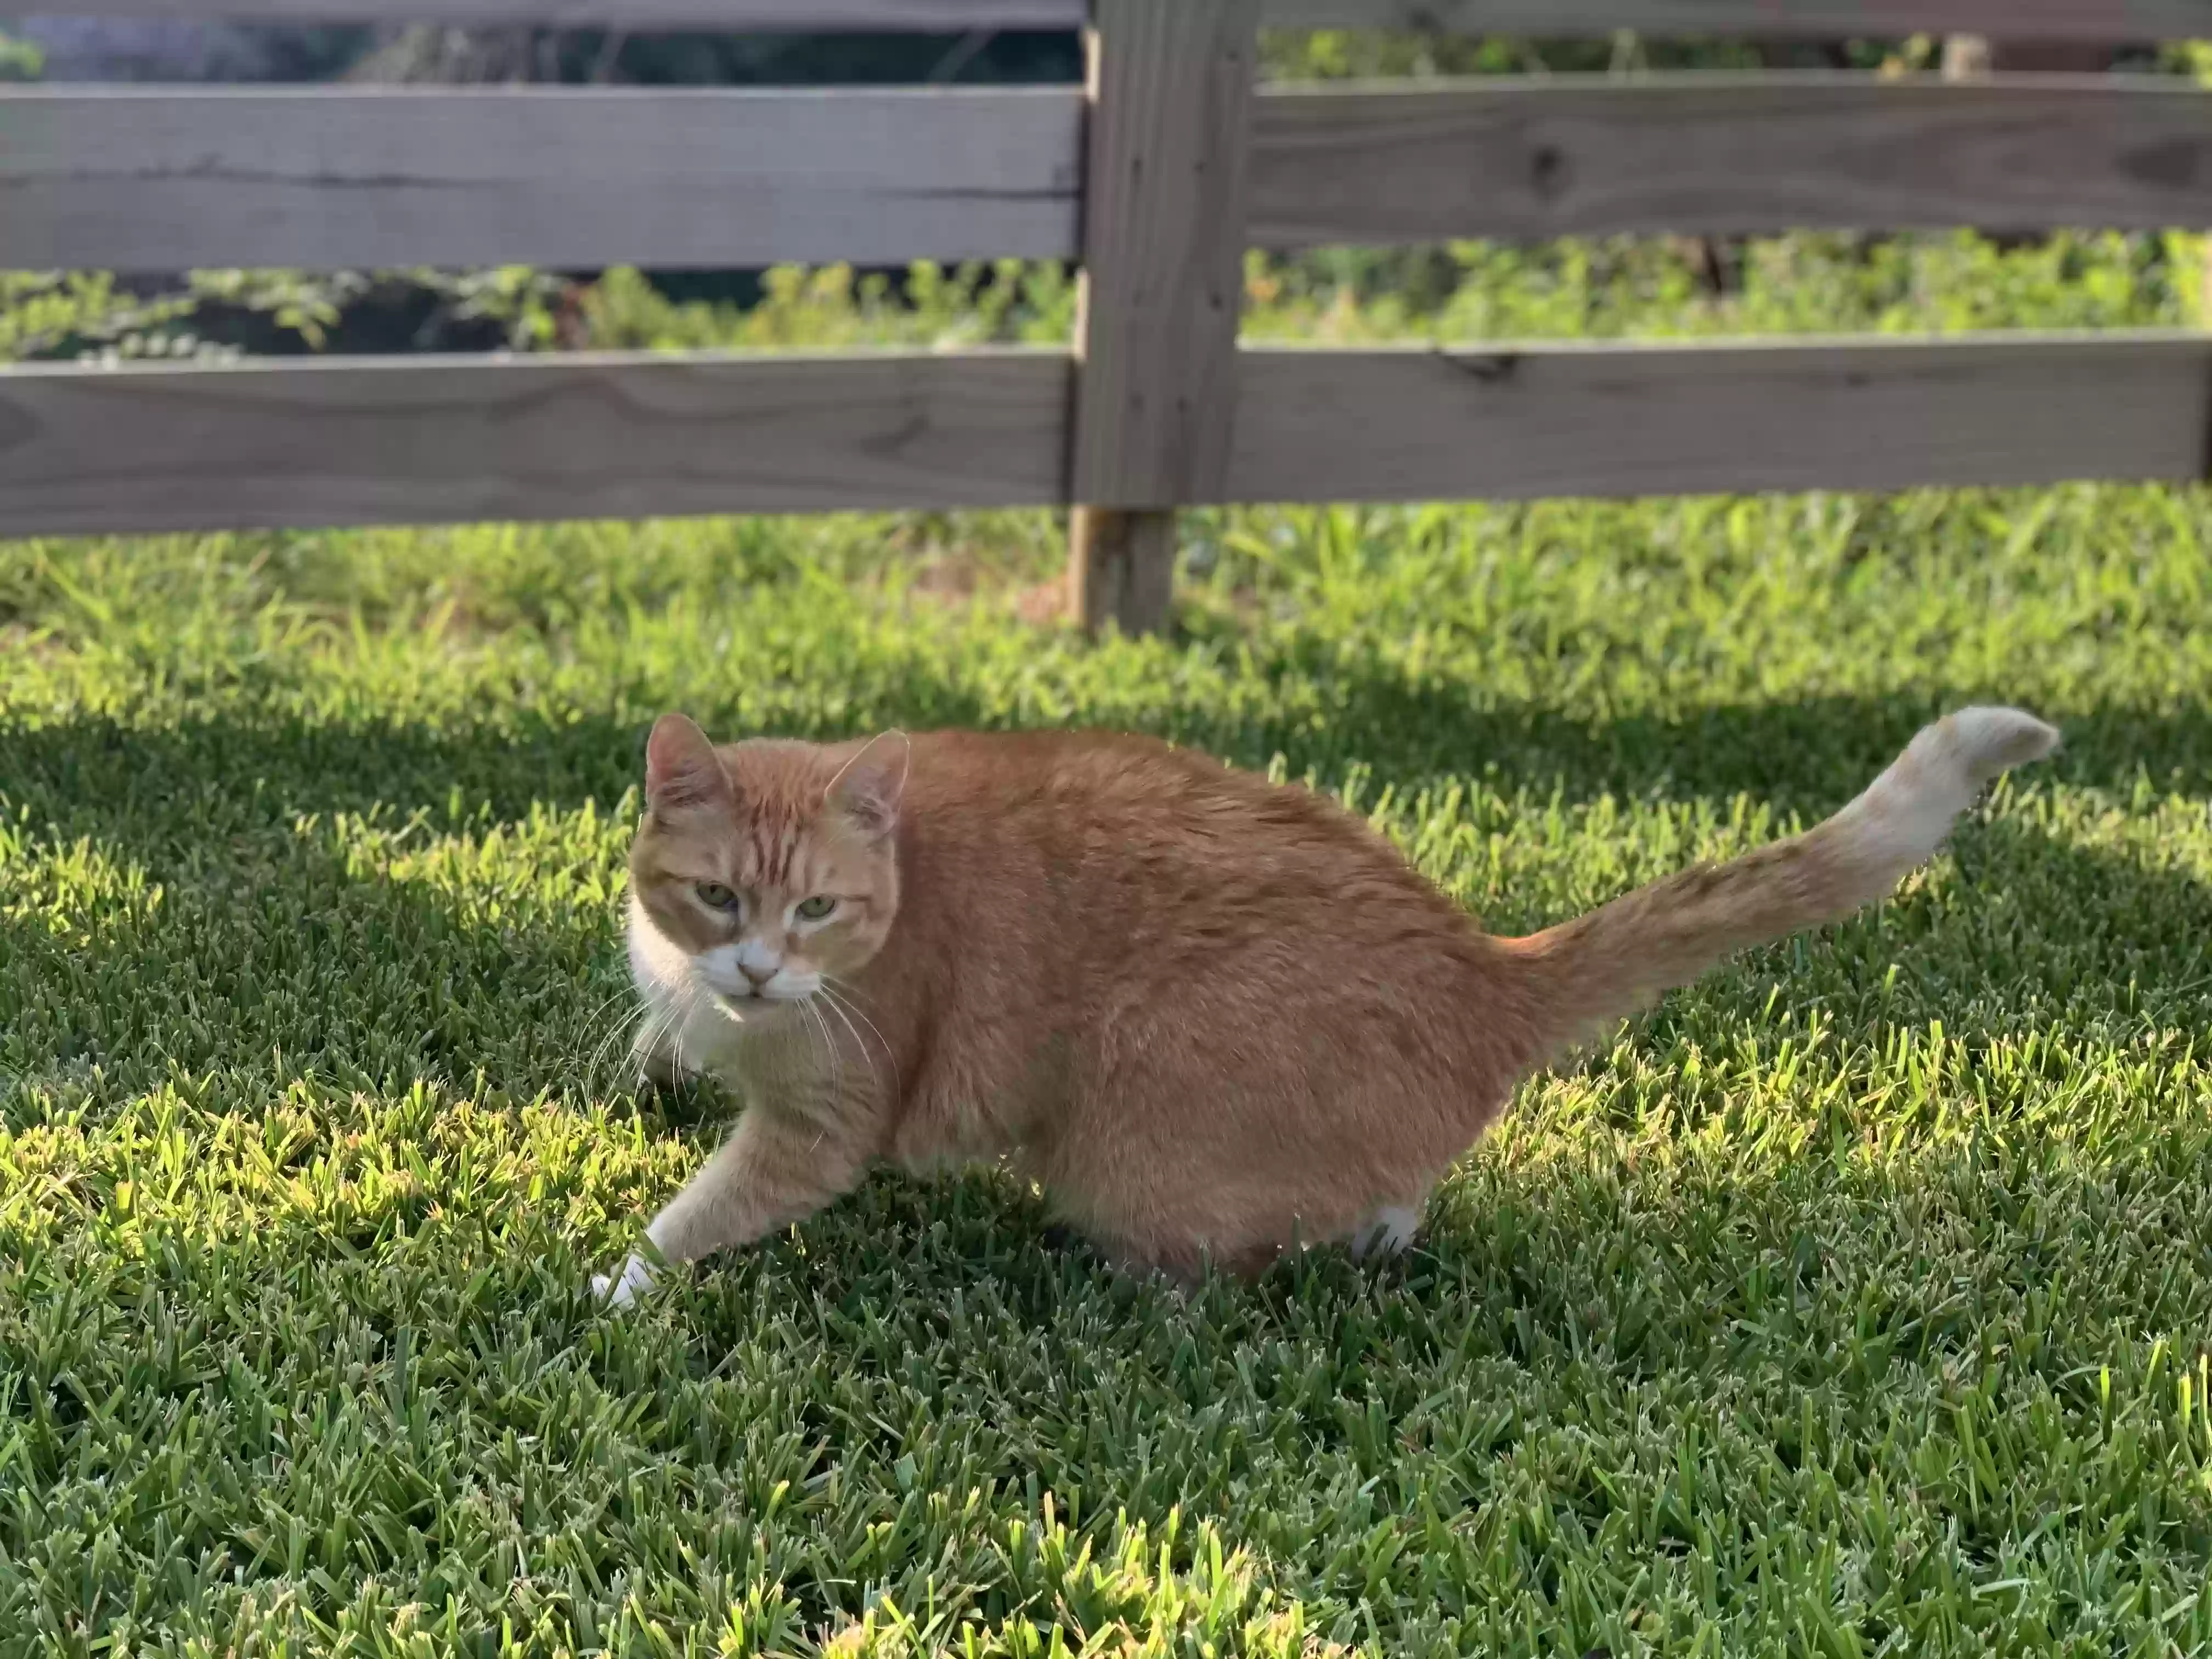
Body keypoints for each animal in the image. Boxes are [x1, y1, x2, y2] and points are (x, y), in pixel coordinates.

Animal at [592, 708, 2052, 1309]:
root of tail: (1483, 964)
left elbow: (700, 1212)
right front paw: (669, 1044)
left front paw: (620, 1283)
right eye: (719, 897)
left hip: (1131, 1126)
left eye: (816, 911)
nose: (758, 972)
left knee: (1238, 1251)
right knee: (1393, 1199)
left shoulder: (826, 1124)